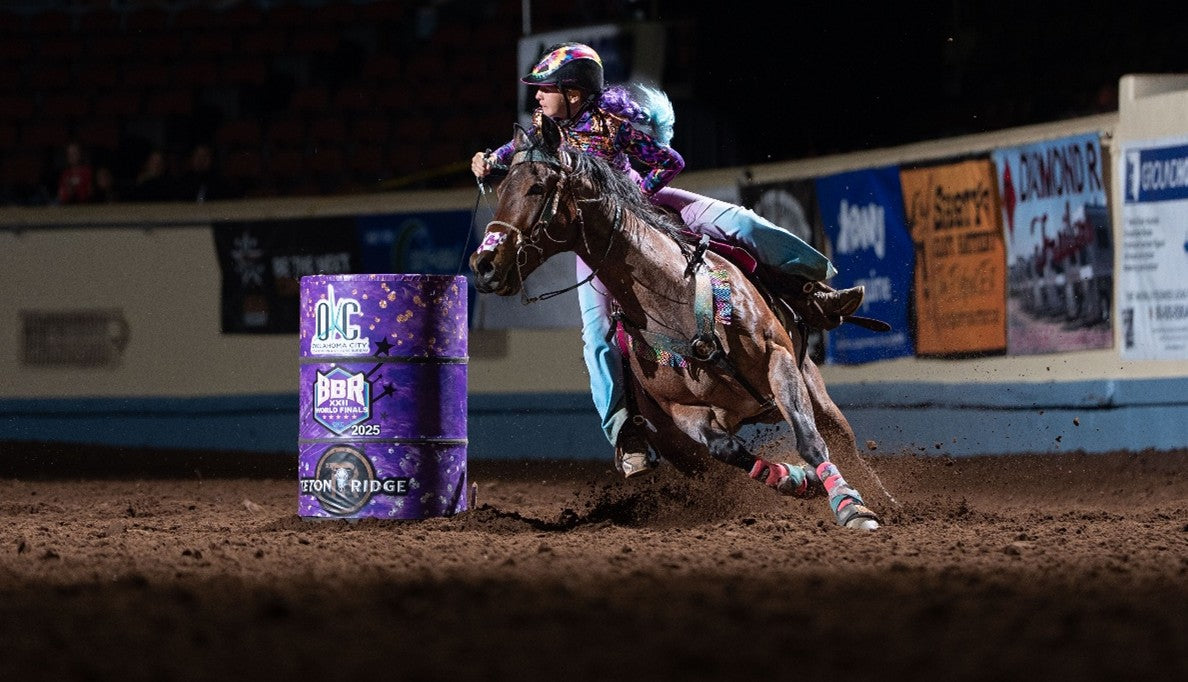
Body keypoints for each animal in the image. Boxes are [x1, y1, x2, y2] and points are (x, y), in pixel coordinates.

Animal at [470, 117, 881, 530]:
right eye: (502, 188)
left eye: (537, 186)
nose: (484, 264)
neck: (674, 294)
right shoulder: (683, 411)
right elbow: (728, 449)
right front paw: (796, 478)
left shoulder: (778, 360)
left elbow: (809, 439)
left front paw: (853, 508)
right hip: (685, 449)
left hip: (813, 386)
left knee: (843, 443)